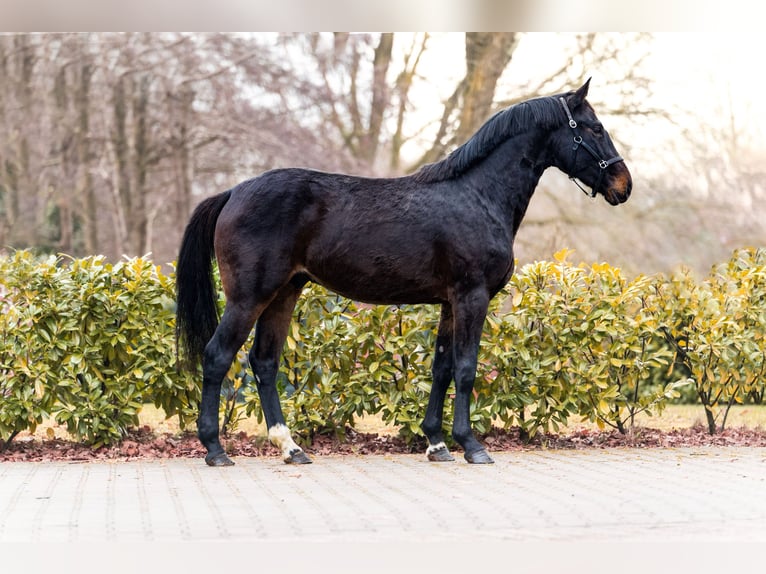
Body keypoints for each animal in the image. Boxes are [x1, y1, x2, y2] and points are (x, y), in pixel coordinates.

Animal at [177, 80, 632, 468]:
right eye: (594, 128)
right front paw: (471, 446)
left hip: (285, 292)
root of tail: (234, 191)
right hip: (249, 297)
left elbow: (443, 368)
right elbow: (466, 367)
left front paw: (437, 444)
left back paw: (291, 448)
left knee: (265, 362)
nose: (623, 185)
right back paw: (215, 449)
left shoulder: (450, 302)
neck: (478, 196)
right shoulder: (472, 296)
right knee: (218, 357)